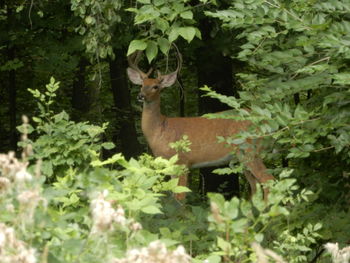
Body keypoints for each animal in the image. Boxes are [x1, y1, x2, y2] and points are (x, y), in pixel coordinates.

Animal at [126, 50, 274, 201]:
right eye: (141, 84)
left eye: (156, 86)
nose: (140, 96)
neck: (161, 128)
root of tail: (268, 121)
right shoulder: (170, 165)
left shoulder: (182, 161)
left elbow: (181, 199)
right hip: (242, 158)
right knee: (255, 187)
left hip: (251, 150)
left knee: (268, 180)